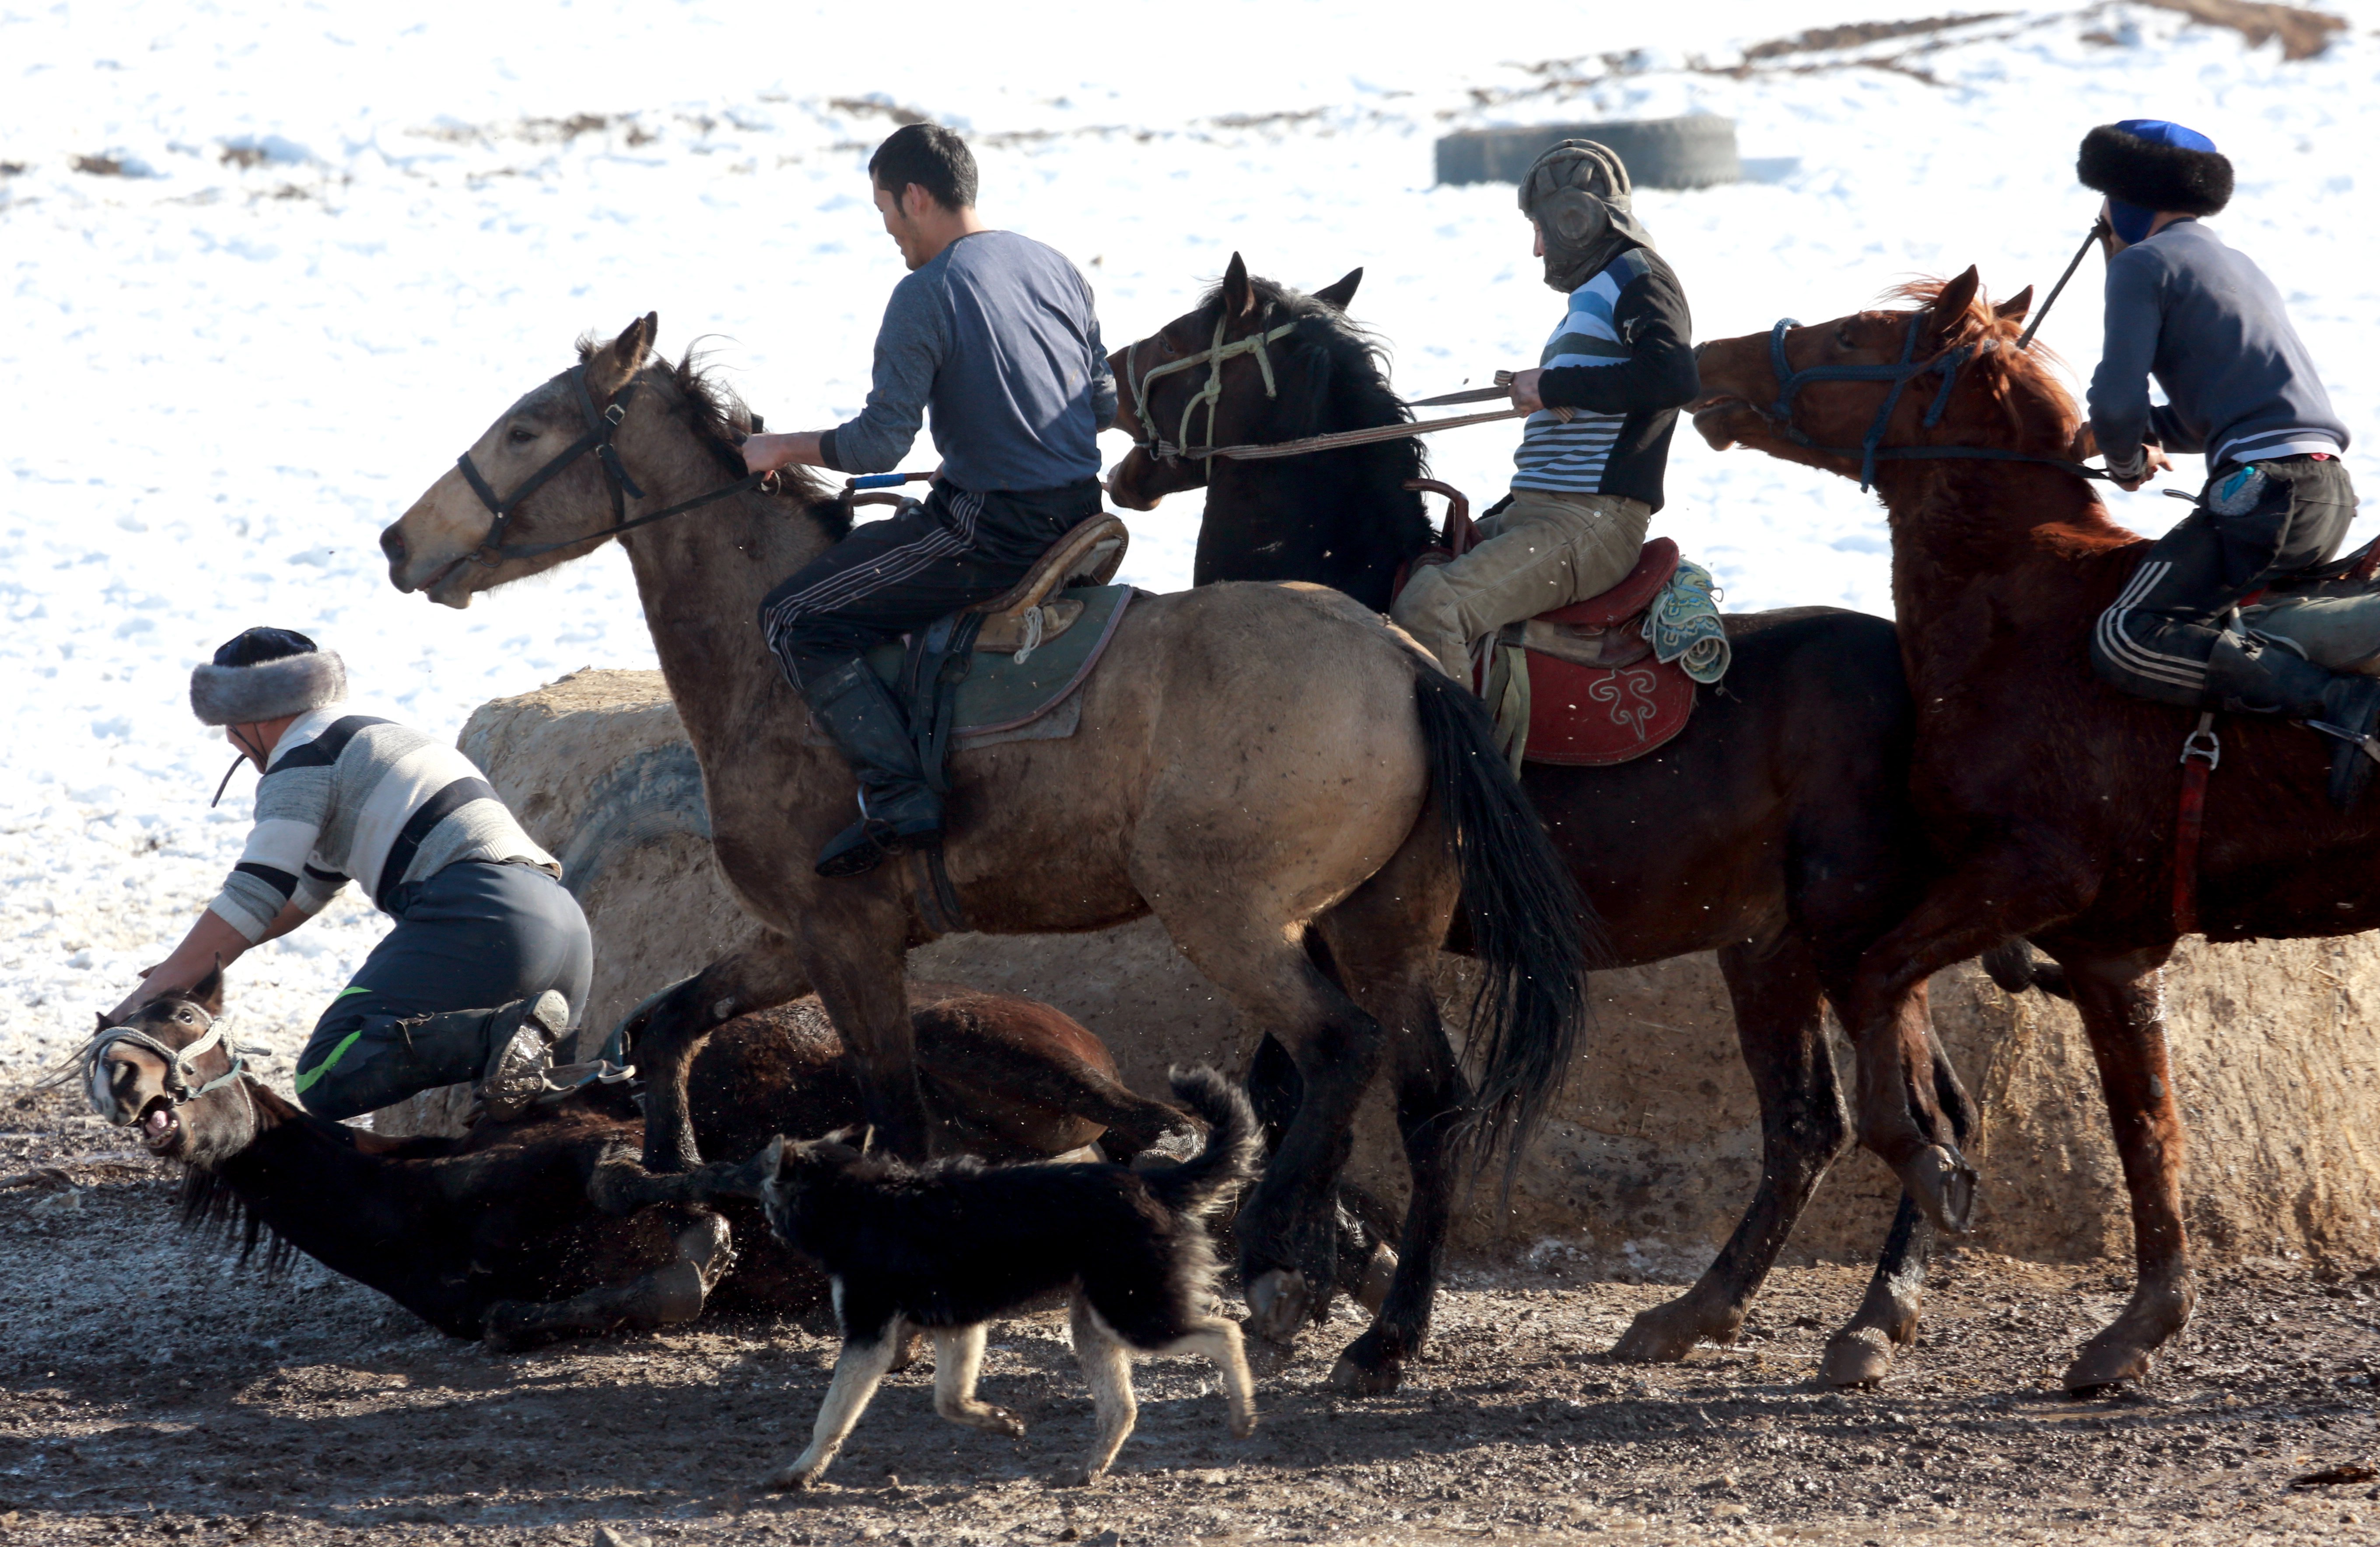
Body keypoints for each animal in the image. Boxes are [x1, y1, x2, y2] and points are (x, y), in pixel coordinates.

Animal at [381, 314, 1589, 1390]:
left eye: (528, 429)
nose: (398, 542)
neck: (769, 667)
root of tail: (1403, 660)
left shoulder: (850, 937)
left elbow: (899, 1123)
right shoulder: (802, 931)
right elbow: (669, 1025)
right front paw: (669, 1183)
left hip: (1234, 918)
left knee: (1335, 1049)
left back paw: (1273, 1258)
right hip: (1379, 922)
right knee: (1429, 1102)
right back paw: (1385, 1335)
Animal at [761, 1061, 1266, 1485]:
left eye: (767, 1187)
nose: (762, 1210)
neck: (855, 1197)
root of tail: (1154, 1183)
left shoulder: (869, 1335)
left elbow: (831, 1416)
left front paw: (799, 1471)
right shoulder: (958, 1324)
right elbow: (949, 1400)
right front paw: (996, 1421)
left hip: (1135, 1313)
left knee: (1224, 1333)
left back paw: (1243, 1415)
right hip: (1099, 1320)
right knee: (1122, 1408)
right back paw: (1091, 1466)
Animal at [1104, 253, 2018, 1390]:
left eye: (1187, 337)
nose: (1103, 377)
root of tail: (1928, 685)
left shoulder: (1341, 929)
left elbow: (1348, 1090)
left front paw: (1348, 1296)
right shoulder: (1303, 927)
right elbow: (1286, 1082)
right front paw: (1325, 1266)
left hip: (1852, 940)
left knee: (1916, 1116)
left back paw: (1870, 1317)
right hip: (1777, 949)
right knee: (1819, 1123)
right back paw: (1704, 1311)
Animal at [1694, 268, 2380, 1390]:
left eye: (1851, 338)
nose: (1709, 360)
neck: (2022, 613)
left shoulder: (2030, 876)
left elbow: (1877, 982)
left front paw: (1926, 1161)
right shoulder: (2107, 951)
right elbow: (2148, 1135)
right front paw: (2140, 1326)